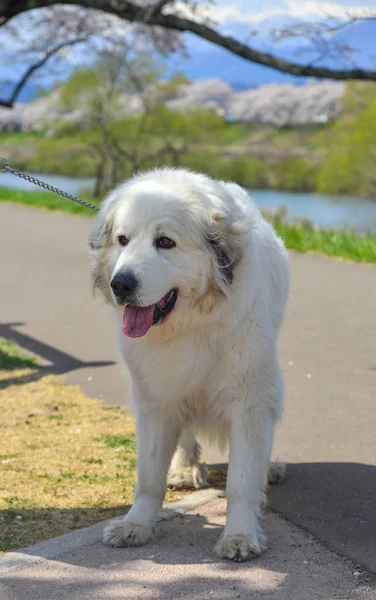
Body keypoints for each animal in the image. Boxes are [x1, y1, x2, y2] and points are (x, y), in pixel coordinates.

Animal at [89, 166, 290, 560]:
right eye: (122, 240)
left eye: (165, 242)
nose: (120, 284)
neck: (191, 322)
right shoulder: (154, 397)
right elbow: (148, 477)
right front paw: (136, 525)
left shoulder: (251, 397)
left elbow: (242, 479)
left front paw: (240, 536)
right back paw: (184, 469)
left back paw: (270, 467)